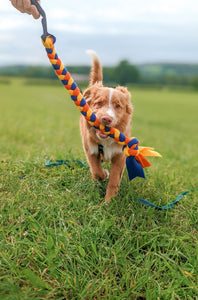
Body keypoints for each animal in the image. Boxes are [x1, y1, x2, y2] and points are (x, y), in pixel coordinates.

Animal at [80, 50, 133, 203]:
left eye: (117, 106)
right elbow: (96, 169)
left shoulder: (120, 155)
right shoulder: (90, 149)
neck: (105, 141)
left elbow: (114, 179)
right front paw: (103, 174)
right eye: (99, 103)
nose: (106, 119)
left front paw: (109, 201)